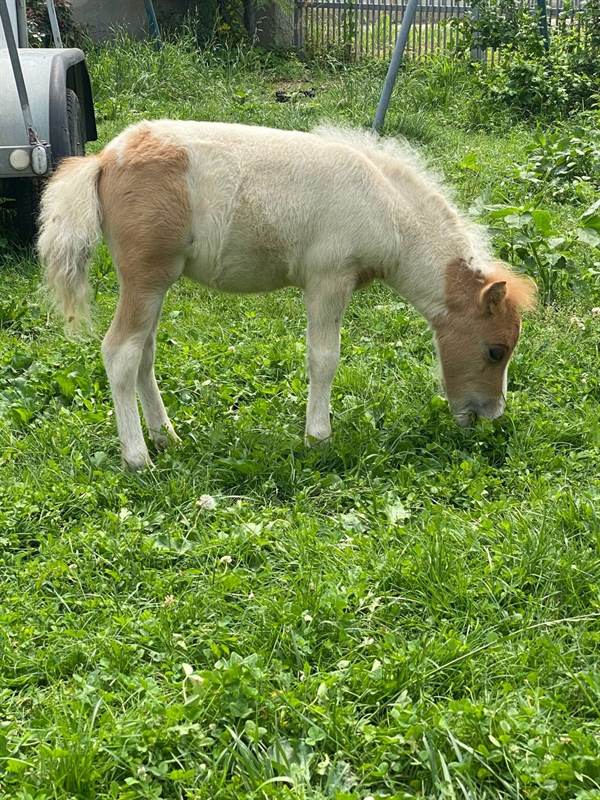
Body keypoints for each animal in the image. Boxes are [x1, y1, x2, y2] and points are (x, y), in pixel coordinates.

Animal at [38, 121, 536, 469]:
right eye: (495, 351)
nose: (488, 416)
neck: (384, 208)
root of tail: (104, 159)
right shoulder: (328, 281)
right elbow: (324, 358)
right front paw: (318, 436)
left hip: (155, 285)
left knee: (144, 354)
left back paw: (166, 438)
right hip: (145, 279)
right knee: (121, 352)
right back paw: (138, 458)